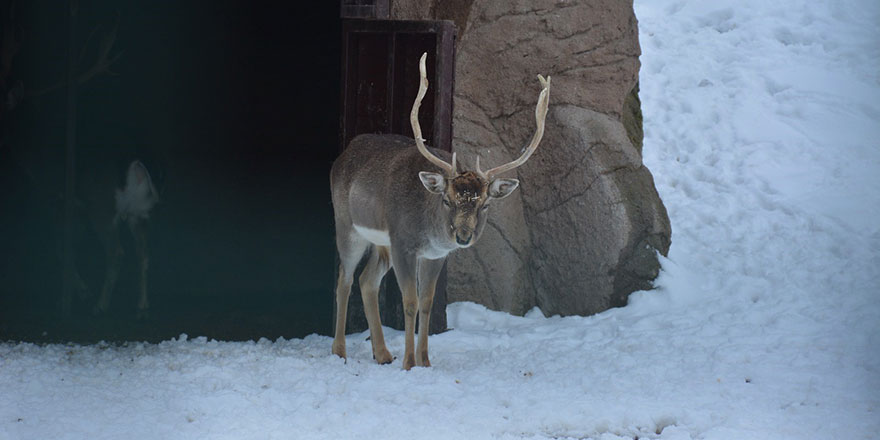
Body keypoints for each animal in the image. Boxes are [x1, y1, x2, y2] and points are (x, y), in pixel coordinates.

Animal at [330, 52, 552, 372]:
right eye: (447, 200)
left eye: (485, 204)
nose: (462, 236)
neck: (428, 229)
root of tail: (343, 154)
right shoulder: (403, 243)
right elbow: (410, 302)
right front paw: (409, 363)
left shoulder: (435, 256)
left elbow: (426, 302)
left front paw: (425, 361)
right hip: (346, 225)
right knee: (344, 279)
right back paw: (339, 351)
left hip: (381, 243)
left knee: (367, 280)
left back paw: (382, 353)